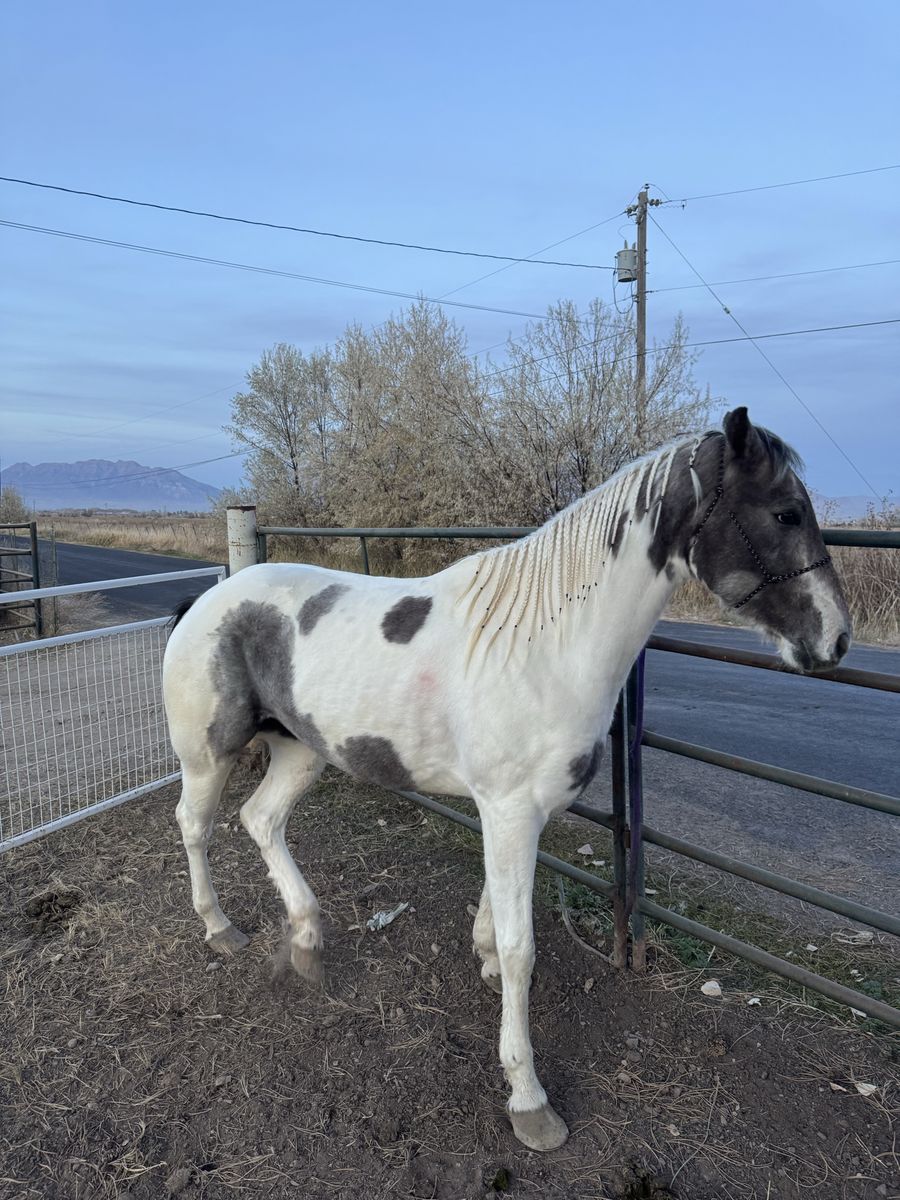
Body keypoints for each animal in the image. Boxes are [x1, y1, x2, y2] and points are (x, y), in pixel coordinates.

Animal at [162, 407, 851, 1151]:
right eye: (785, 513)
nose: (836, 640)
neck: (547, 646)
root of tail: (208, 601)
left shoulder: (518, 812)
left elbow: (497, 911)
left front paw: (485, 956)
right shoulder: (511, 809)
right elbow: (524, 952)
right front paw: (528, 1099)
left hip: (301, 752)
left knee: (260, 821)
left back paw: (307, 941)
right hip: (208, 754)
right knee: (196, 826)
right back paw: (220, 928)